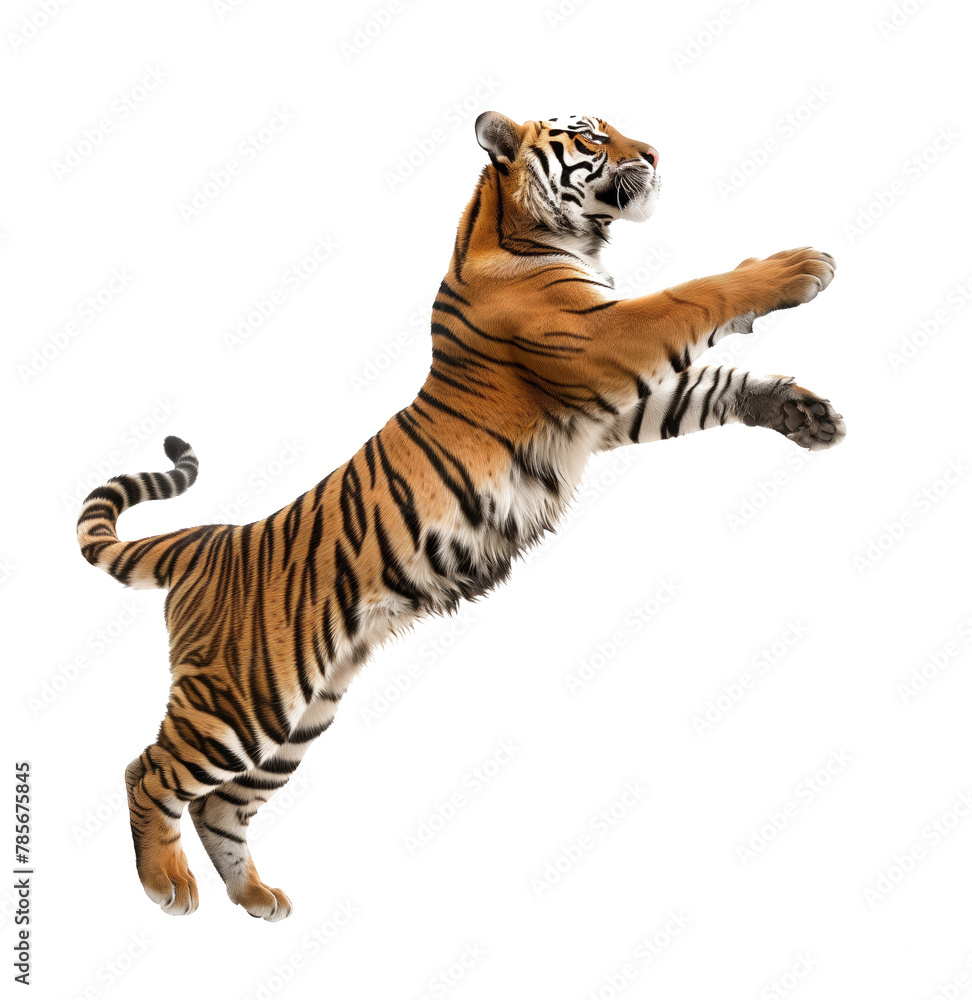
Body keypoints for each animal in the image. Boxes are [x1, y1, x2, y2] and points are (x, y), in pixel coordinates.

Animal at [76, 111, 845, 920]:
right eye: (591, 137)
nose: (656, 154)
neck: (528, 233)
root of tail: (209, 539)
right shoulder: (601, 341)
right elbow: (693, 296)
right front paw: (799, 265)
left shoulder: (616, 401)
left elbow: (714, 384)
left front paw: (804, 413)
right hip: (242, 696)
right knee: (148, 771)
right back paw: (167, 884)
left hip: (300, 713)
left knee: (221, 804)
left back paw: (256, 896)